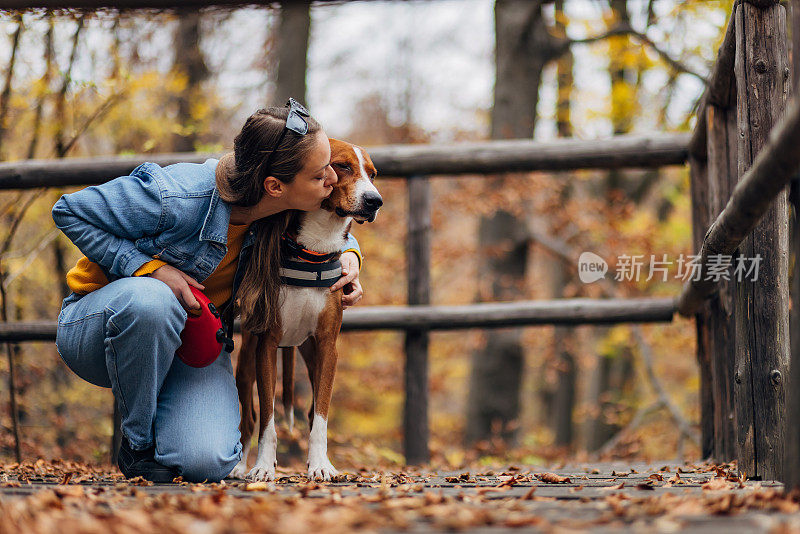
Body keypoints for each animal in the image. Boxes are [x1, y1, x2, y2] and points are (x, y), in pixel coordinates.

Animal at [230, 140, 382, 484]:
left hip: (311, 356)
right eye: (343, 166)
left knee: (312, 411)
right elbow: (267, 420)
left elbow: (321, 417)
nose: (374, 200)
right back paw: (239, 466)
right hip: (245, 362)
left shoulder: (327, 347)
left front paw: (320, 464)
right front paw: (263, 466)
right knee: (249, 418)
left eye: (372, 174)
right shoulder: (267, 346)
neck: (315, 248)